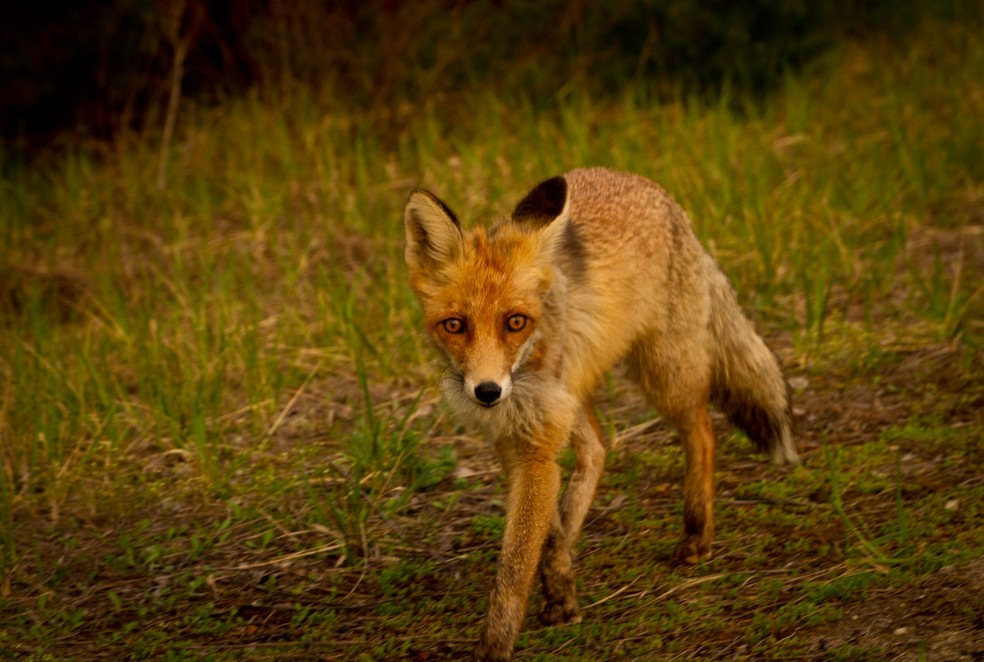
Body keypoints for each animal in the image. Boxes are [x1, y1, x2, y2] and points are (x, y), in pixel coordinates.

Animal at [403, 167, 798, 661]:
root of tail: (652, 188)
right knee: (598, 451)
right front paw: (560, 591)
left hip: (664, 374)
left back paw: (696, 534)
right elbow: (544, 531)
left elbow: (513, 569)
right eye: (455, 325)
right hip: (579, 392)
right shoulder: (517, 444)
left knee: (703, 432)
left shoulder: (536, 445)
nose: (488, 392)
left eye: (516, 322)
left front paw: (495, 645)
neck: (529, 362)